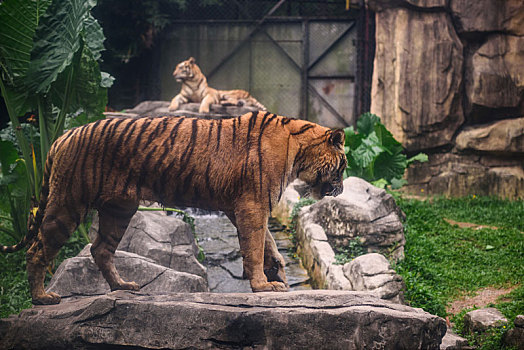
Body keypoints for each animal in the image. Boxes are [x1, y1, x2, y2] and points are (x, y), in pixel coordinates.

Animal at [1, 110, 348, 304]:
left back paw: (122, 287)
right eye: (343, 166)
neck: (298, 151)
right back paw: (42, 298)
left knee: (100, 249)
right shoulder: (252, 205)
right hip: (69, 203)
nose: (342, 188)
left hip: (118, 209)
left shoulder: (243, 207)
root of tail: (62, 136)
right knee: (37, 250)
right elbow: (253, 246)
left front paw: (276, 268)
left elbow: (268, 242)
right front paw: (263, 286)